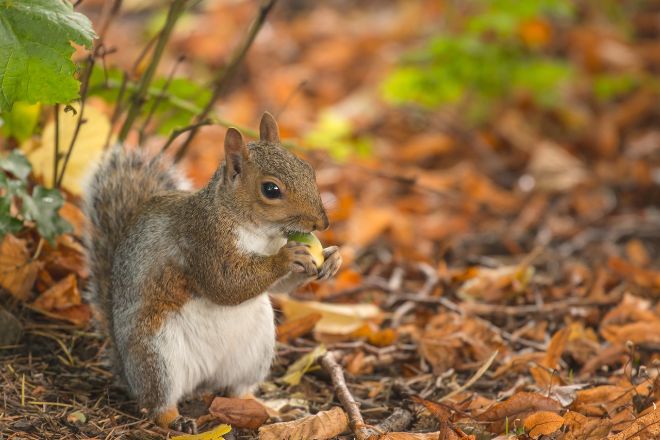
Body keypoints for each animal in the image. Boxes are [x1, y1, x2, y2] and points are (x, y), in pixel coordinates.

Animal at [82, 113, 340, 434]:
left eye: (308, 170)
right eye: (271, 190)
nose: (322, 223)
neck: (256, 230)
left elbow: (278, 288)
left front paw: (332, 259)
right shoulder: (202, 240)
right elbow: (225, 284)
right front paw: (286, 257)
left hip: (254, 352)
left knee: (238, 389)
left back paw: (264, 407)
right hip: (157, 354)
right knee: (157, 401)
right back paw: (175, 419)